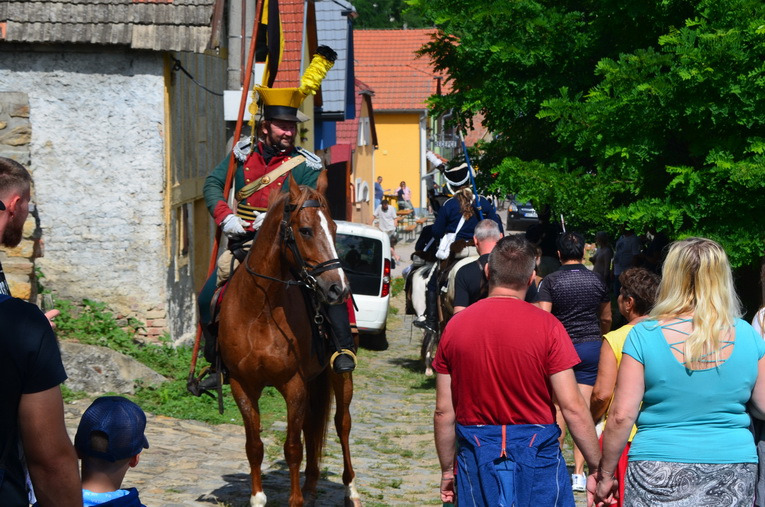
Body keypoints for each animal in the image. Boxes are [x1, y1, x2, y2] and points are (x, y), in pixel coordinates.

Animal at [218, 175, 361, 507]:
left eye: (334, 228)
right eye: (305, 230)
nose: (339, 288)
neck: (259, 310)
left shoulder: (293, 384)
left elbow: (292, 447)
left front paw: (294, 500)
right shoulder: (242, 385)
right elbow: (254, 446)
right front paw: (257, 498)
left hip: (338, 376)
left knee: (342, 424)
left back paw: (350, 490)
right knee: (312, 424)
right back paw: (310, 486)